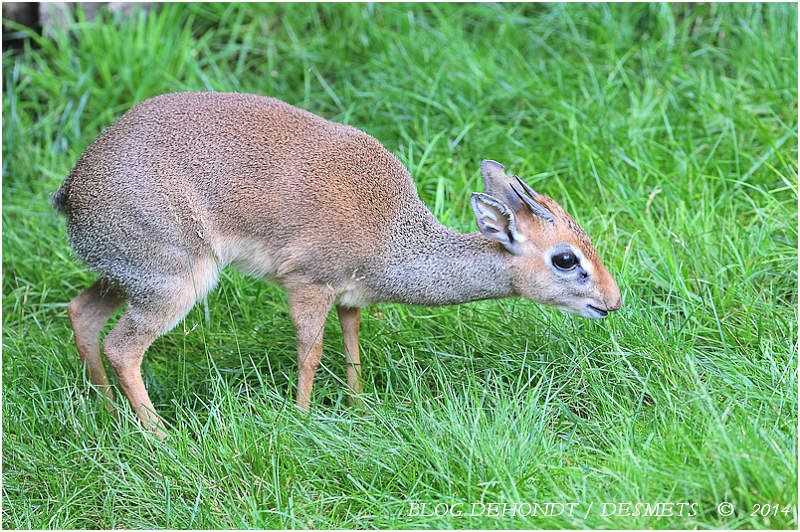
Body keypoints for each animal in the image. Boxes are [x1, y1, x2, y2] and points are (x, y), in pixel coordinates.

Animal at [53, 92, 620, 440]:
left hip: (127, 276)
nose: (612, 302)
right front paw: (301, 418)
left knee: (82, 312)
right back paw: (161, 435)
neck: (391, 237)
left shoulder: (350, 298)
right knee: (123, 347)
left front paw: (358, 407)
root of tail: (72, 189)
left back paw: (108, 413)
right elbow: (311, 351)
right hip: (174, 282)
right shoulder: (308, 283)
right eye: (565, 258)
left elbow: (352, 346)